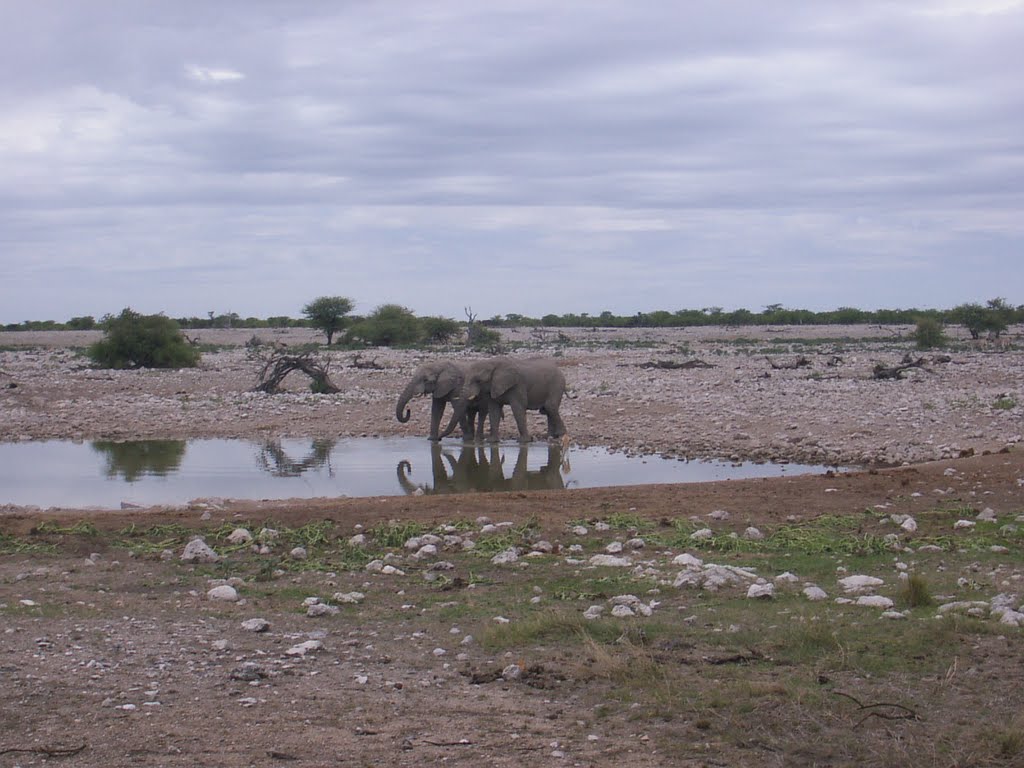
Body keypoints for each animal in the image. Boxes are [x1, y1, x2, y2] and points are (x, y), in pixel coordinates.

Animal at [440, 356, 569, 442]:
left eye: (479, 381)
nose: (439, 438)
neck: (493, 363)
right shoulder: (492, 387)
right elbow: (494, 410)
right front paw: (492, 441)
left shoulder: (517, 385)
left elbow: (518, 408)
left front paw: (524, 441)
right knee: (547, 410)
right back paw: (550, 436)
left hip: (557, 384)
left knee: (550, 407)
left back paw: (560, 434)